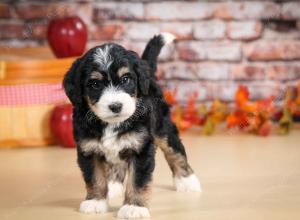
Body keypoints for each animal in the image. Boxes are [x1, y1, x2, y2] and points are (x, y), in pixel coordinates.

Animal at [63, 32, 202, 218]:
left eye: (125, 79)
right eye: (95, 84)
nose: (115, 106)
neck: (112, 124)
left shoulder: (141, 148)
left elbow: (137, 180)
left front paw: (134, 207)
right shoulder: (88, 149)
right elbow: (95, 177)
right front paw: (95, 201)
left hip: (163, 128)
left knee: (175, 152)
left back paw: (187, 181)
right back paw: (113, 185)